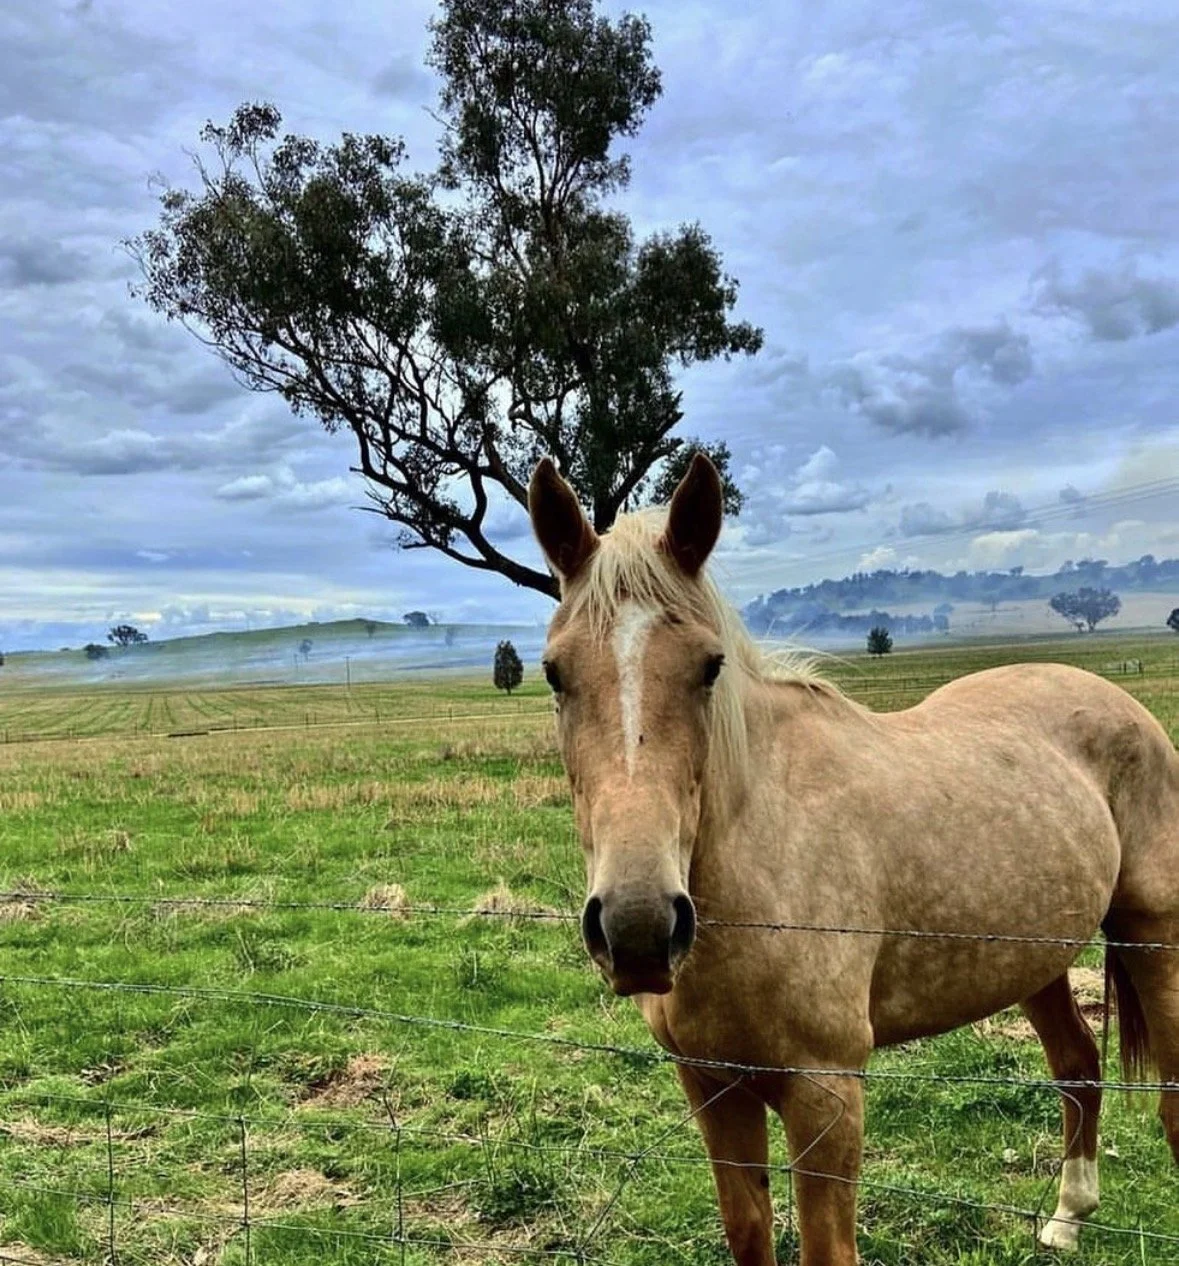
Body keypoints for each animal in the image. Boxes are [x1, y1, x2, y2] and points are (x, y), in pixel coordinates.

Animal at [527, 453, 1179, 1265]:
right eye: (553, 672)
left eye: (709, 667)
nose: (639, 927)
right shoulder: (712, 1085)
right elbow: (749, 1232)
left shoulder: (825, 1093)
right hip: (1036, 959)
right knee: (1078, 1066)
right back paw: (1066, 1216)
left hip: (1152, 935)